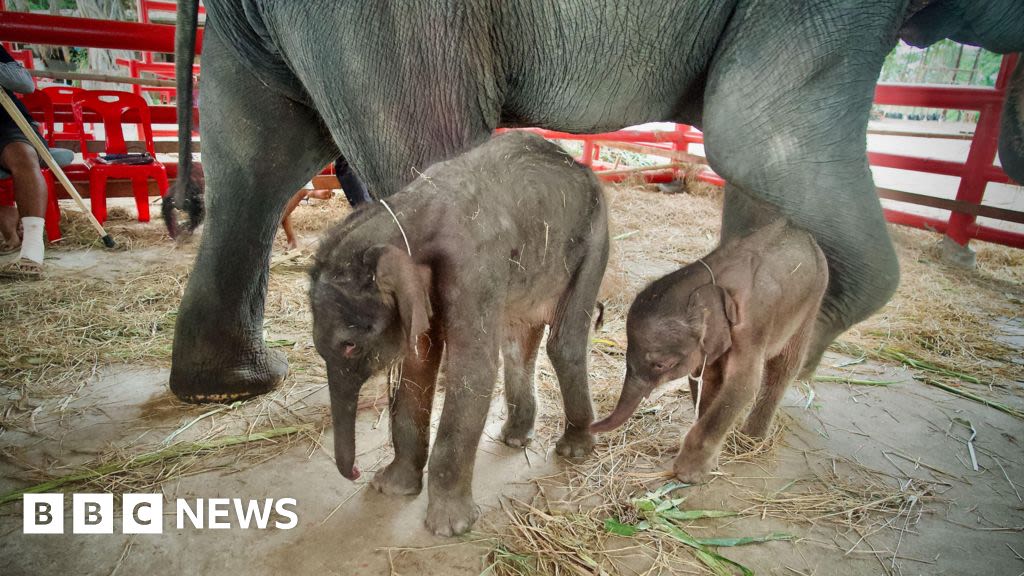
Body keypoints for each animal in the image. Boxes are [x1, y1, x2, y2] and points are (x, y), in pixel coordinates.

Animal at [303, 129, 606, 532]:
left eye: (350, 346)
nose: (354, 473)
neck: (406, 214)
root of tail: (580, 166)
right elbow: (416, 368)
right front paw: (390, 488)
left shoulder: (475, 265)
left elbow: (471, 369)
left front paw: (448, 527)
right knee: (516, 342)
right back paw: (514, 438)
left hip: (595, 241)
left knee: (564, 342)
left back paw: (573, 449)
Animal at [593, 217, 831, 481]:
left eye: (661, 364)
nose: (590, 427)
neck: (714, 280)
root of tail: (801, 231)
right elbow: (708, 378)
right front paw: (708, 464)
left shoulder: (752, 327)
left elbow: (743, 385)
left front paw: (688, 475)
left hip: (813, 301)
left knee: (784, 367)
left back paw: (751, 440)